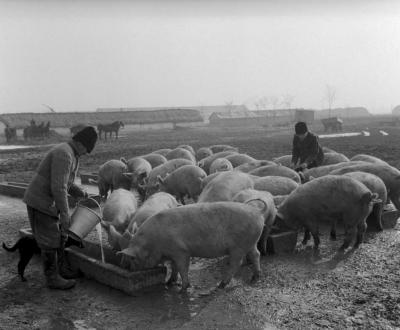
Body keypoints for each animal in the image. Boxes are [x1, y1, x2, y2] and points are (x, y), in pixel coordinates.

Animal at [120, 201, 268, 288]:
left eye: (132, 258)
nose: (128, 268)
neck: (153, 242)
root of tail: (258, 212)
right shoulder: (172, 253)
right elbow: (174, 267)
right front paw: (169, 282)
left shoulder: (181, 251)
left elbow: (182, 268)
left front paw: (184, 287)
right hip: (251, 242)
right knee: (256, 254)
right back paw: (255, 277)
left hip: (238, 246)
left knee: (236, 263)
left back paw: (221, 284)